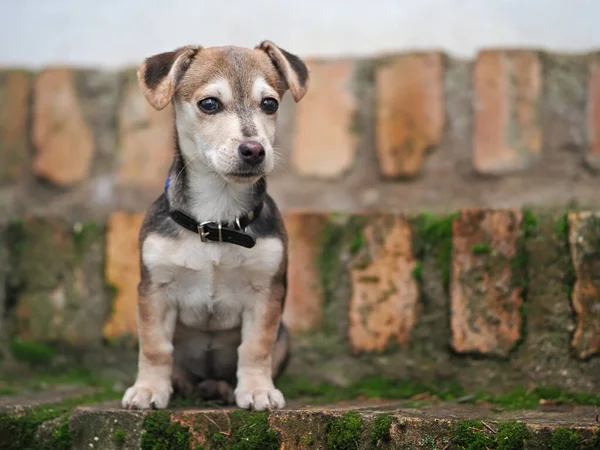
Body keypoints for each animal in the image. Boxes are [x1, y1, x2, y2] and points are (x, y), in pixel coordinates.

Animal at [121, 41, 310, 412]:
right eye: (209, 103)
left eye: (269, 104)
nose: (254, 150)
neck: (217, 219)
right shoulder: (154, 290)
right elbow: (155, 347)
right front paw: (148, 390)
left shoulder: (265, 293)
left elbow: (255, 347)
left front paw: (257, 390)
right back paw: (182, 384)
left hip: (285, 334)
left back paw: (220, 388)